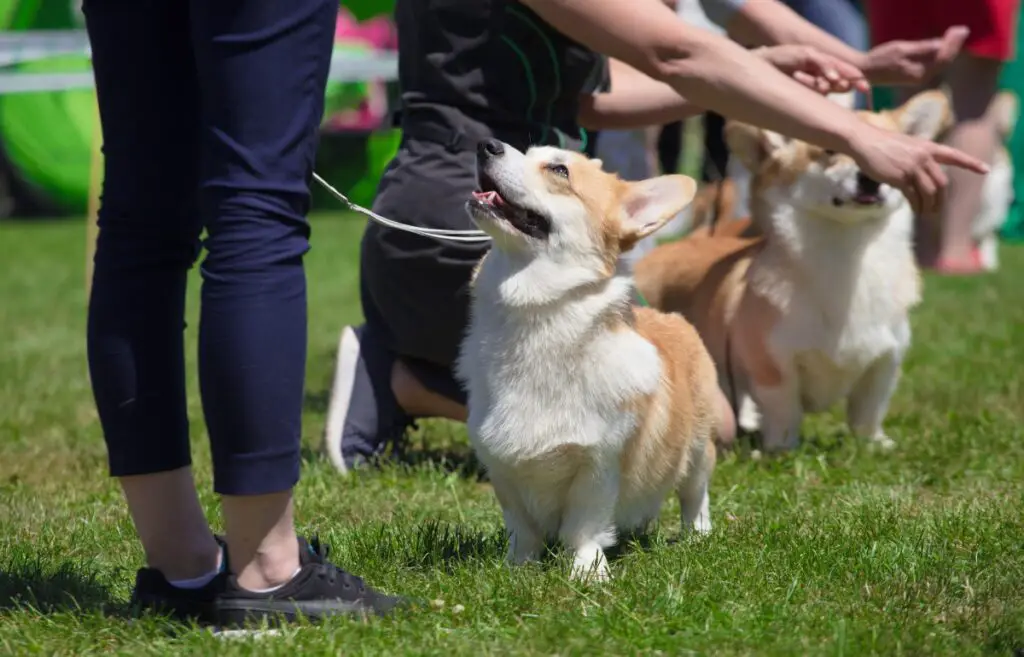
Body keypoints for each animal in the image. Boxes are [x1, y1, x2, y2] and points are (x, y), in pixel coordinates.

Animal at [456, 138, 720, 577]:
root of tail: (669, 316)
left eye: (559, 170)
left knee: (694, 494)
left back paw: (697, 535)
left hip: (698, 448)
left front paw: (587, 572)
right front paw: (517, 567)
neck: (535, 319)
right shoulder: (501, 466)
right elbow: (521, 528)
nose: (486, 144)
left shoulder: (597, 466)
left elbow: (582, 527)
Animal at [634, 89, 954, 452]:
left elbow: (869, 409)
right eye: (829, 150)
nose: (871, 178)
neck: (846, 250)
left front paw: (875, 444)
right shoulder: (773, 364)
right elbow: (784, 409)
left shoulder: (886, 360)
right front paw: (781, 449)